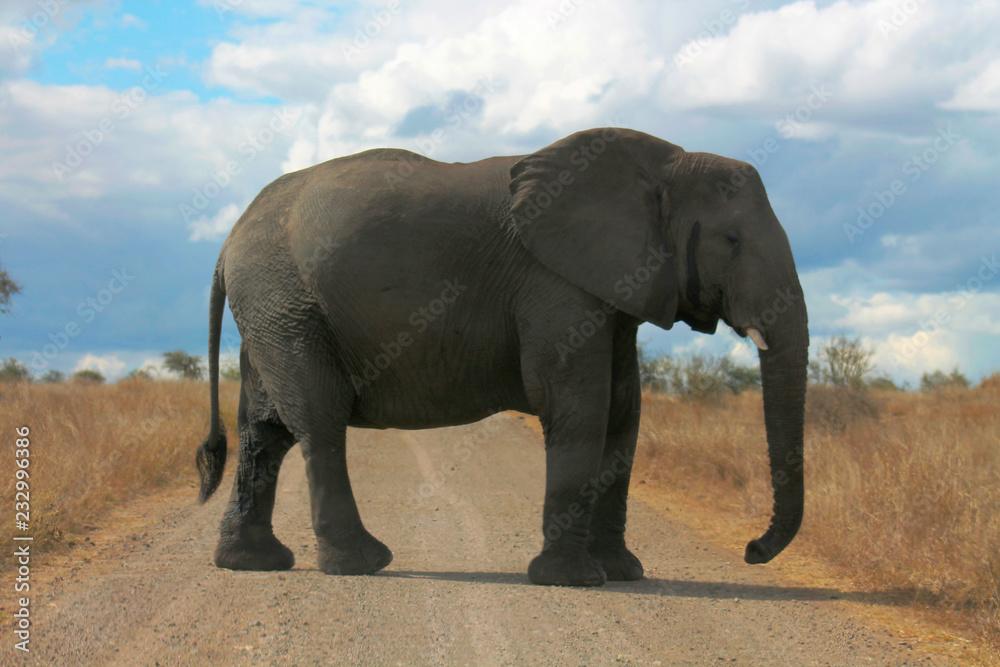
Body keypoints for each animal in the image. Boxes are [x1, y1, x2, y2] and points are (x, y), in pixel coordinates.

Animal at [196, 127, 809, 587]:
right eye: (731, 241)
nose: (752, 549)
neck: (664, 165)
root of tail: (225, 246)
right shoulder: (554, 281)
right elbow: (578, 407)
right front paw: (572, 581)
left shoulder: (609, 290)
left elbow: (623, 415)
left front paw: (622, 574)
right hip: (286, 302)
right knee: (318, 419)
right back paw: (362, 564)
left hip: (274, 308)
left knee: (264, 430)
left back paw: (251, 564)